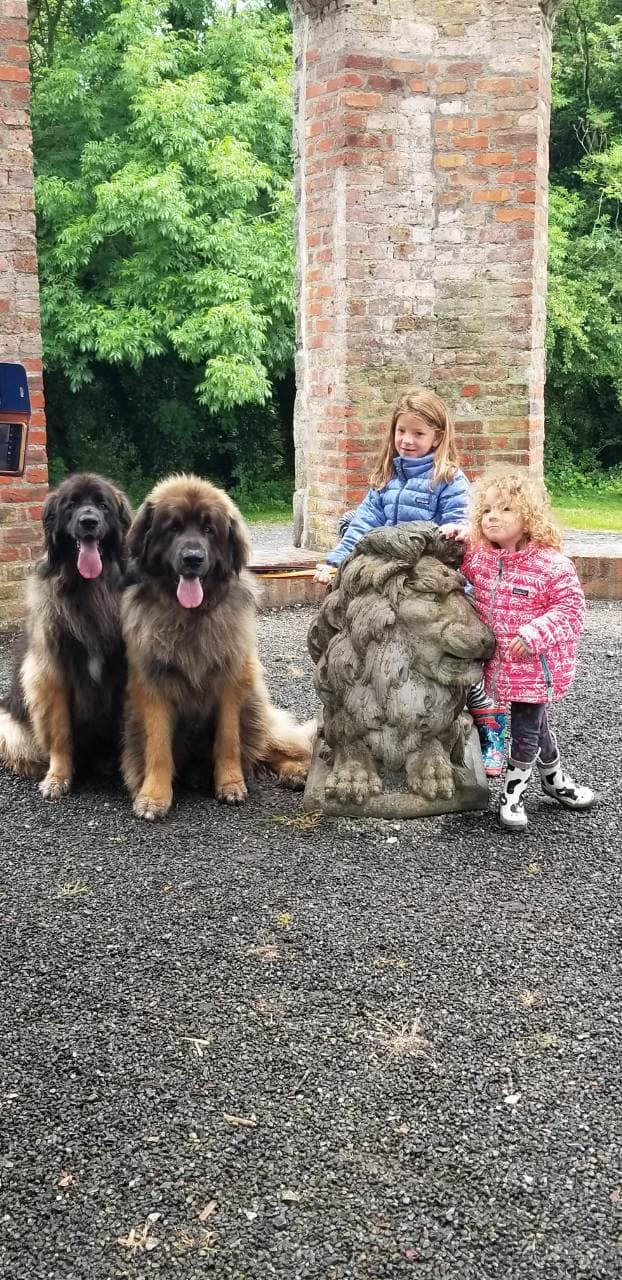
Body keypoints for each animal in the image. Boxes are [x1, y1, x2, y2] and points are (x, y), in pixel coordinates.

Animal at [0, 473, 132, 788]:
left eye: (102, 505)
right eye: (71, 505)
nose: (89, 522)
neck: (89, 588)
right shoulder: (51, 675)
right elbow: (60, 731)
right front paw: (58, 777)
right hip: (6, 722)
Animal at [120, 473, 313, 819]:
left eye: (210, 529)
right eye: (173, 527)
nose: (193, 559)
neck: (190, 616)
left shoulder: (231, 684)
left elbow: (228, 740)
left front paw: (231, 785)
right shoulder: (153, 686)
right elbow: (158, 748)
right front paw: (154, 796)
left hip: (255, 707)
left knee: (269, 747)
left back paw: (294, 771)